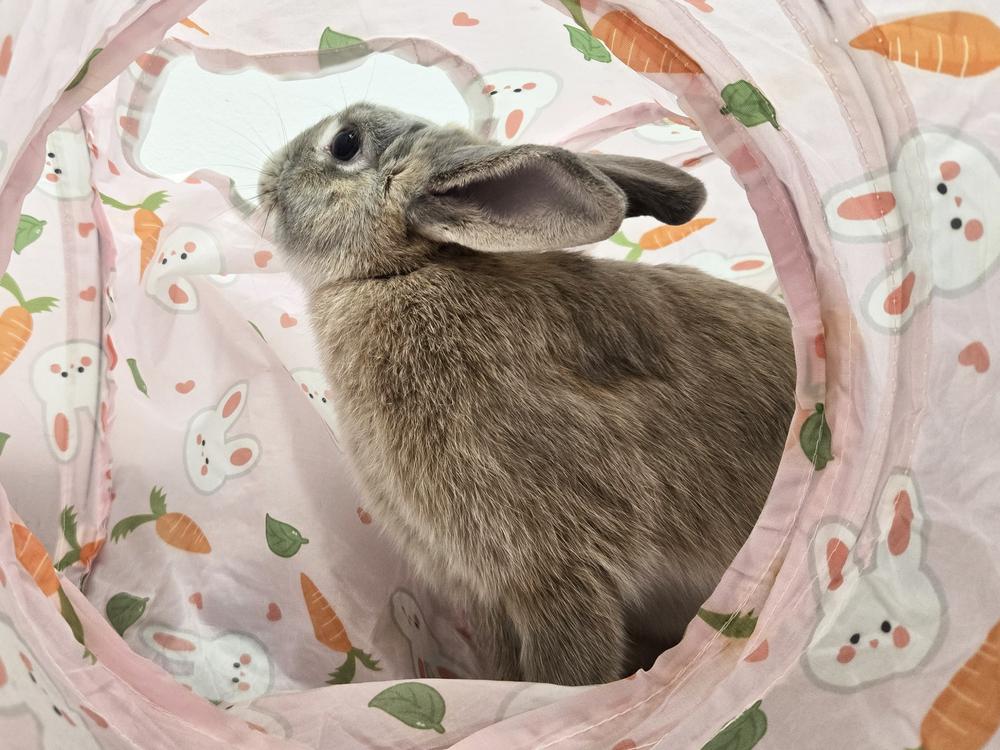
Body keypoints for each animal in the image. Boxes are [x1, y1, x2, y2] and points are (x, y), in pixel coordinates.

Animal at [258, 102, 795, 686]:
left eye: (345, 144)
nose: (264, 176)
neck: (403, 270)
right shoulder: (484, 591)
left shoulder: (553, 570)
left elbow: (561, 669)